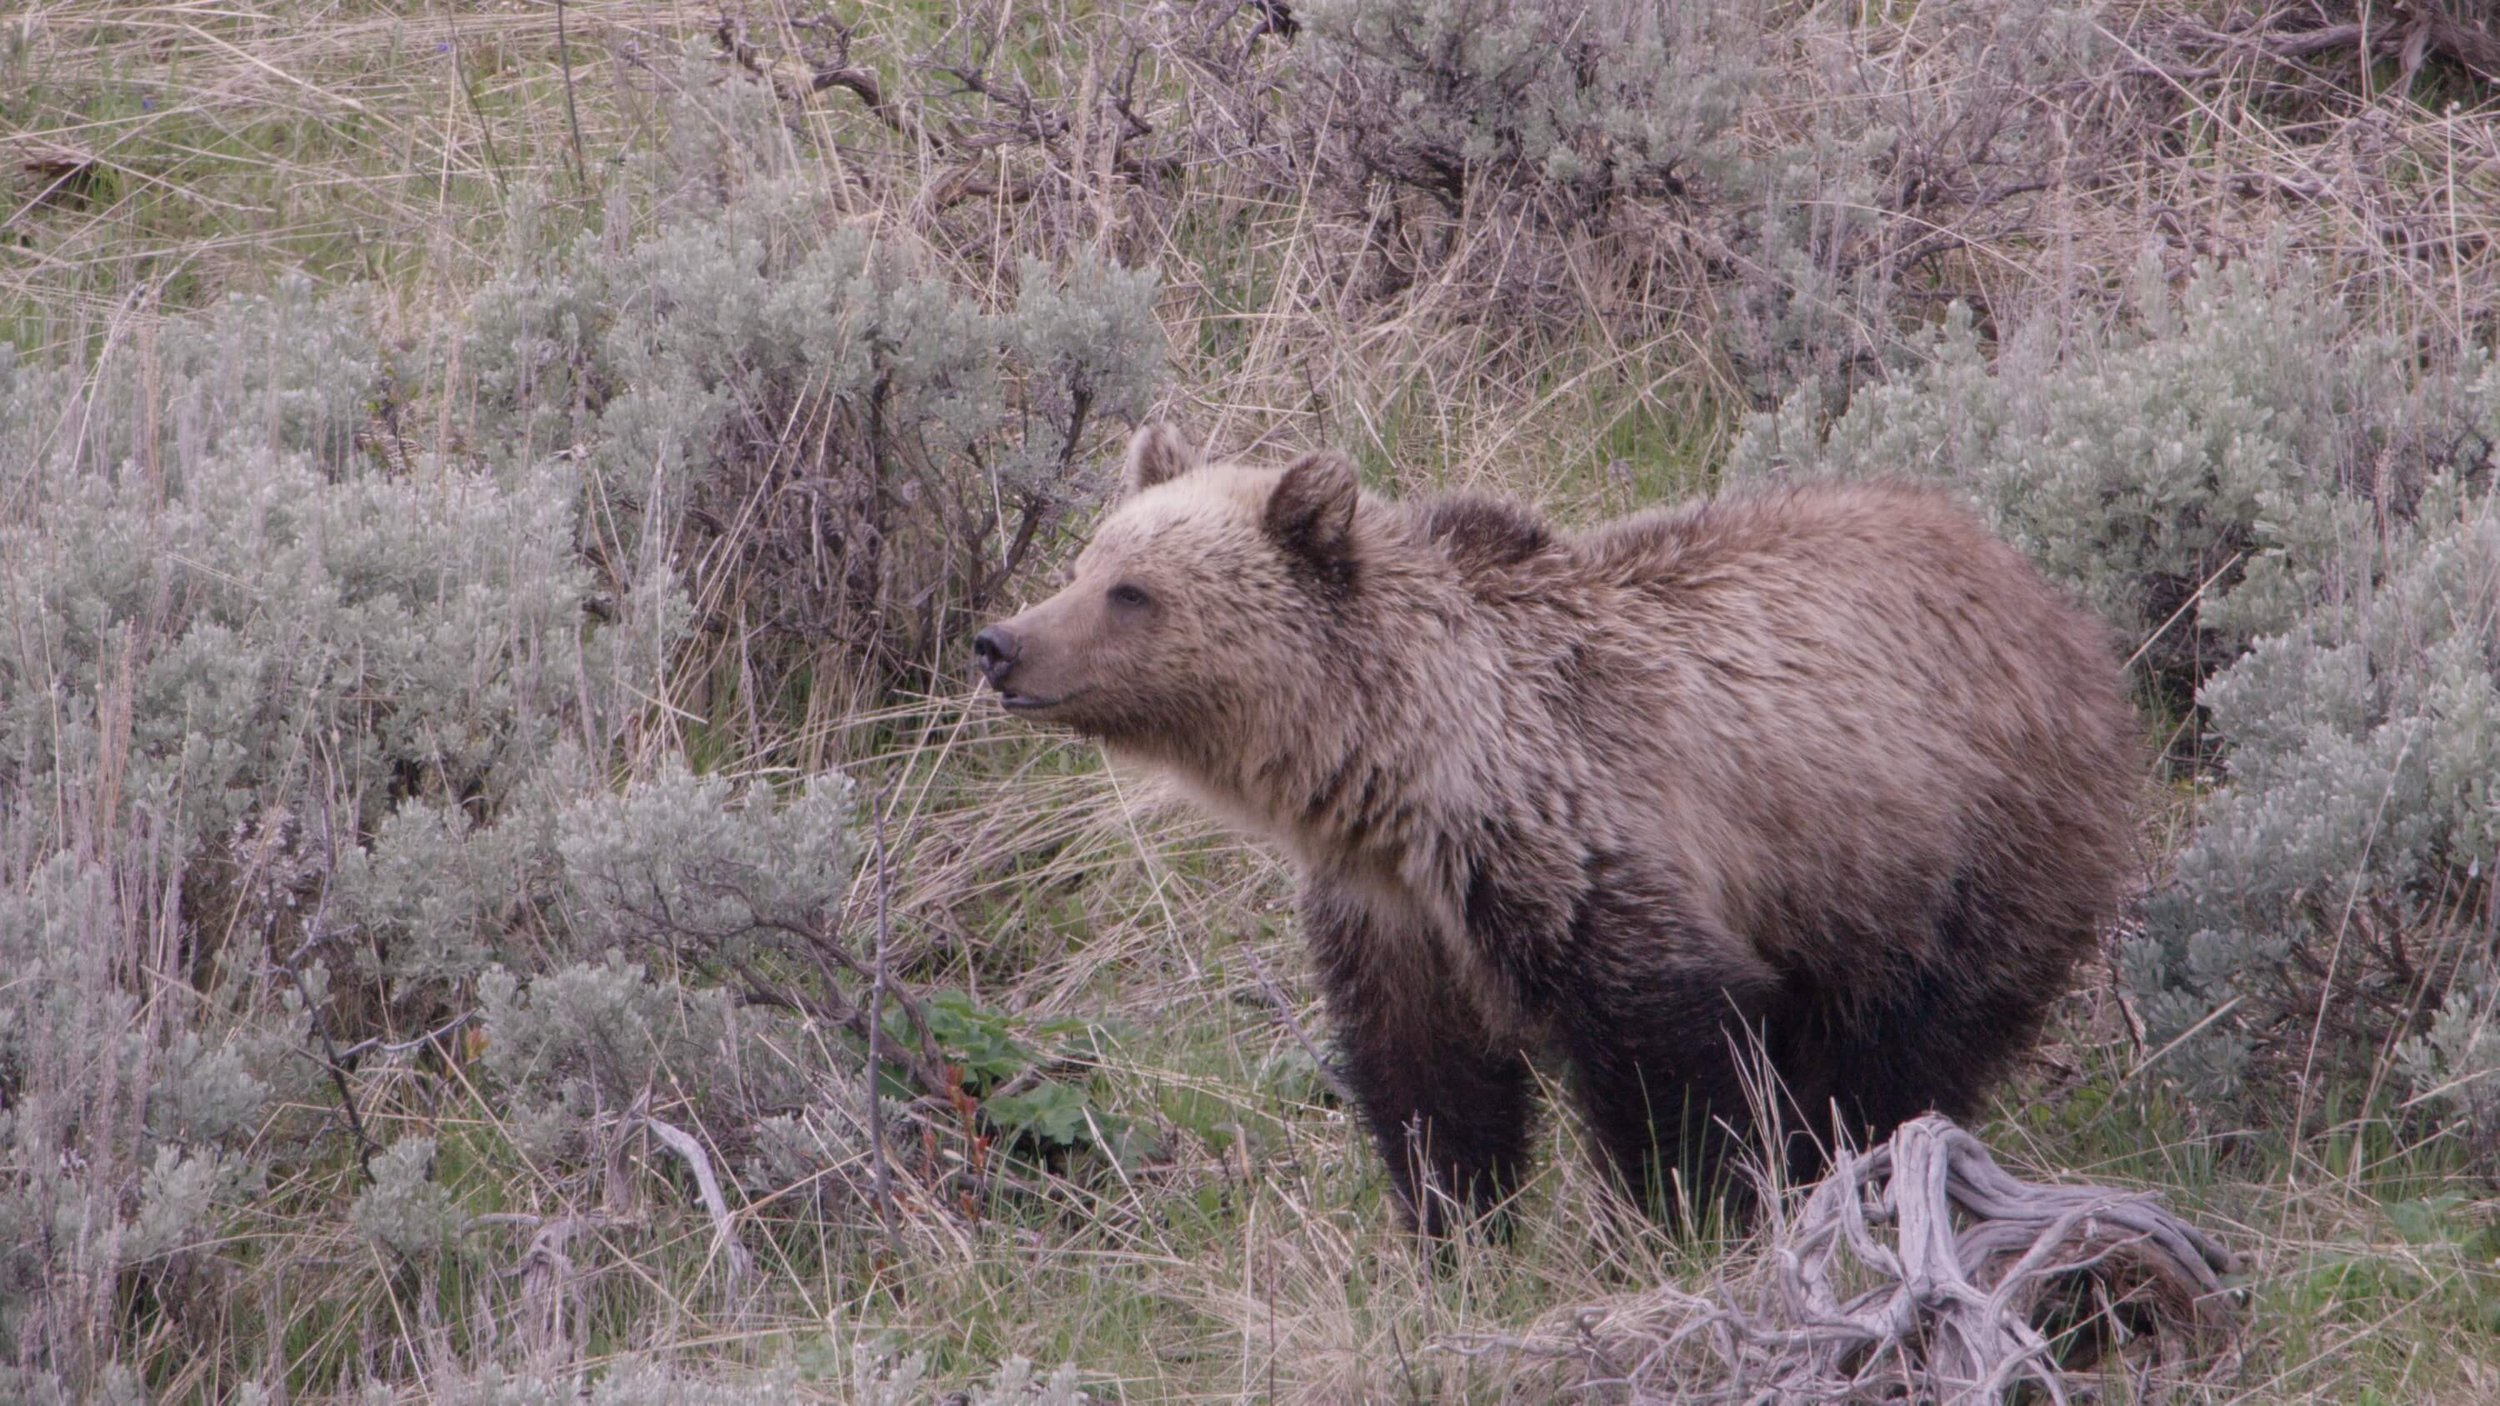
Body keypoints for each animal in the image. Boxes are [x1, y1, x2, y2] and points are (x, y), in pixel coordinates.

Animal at [973, 423, 2137, 1235]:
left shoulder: (1586, 850)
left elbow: (1669, 1061)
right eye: (1085, 561)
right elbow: (1428, 1088)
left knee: (1899, 1043)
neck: (1406, 773)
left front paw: (1681, 1216)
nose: (1001, 642)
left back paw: (1845, 1159)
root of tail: (2054, 603)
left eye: (1132, 591)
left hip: (1953, 847)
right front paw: (1454, 1230)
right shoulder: (1396, 915)